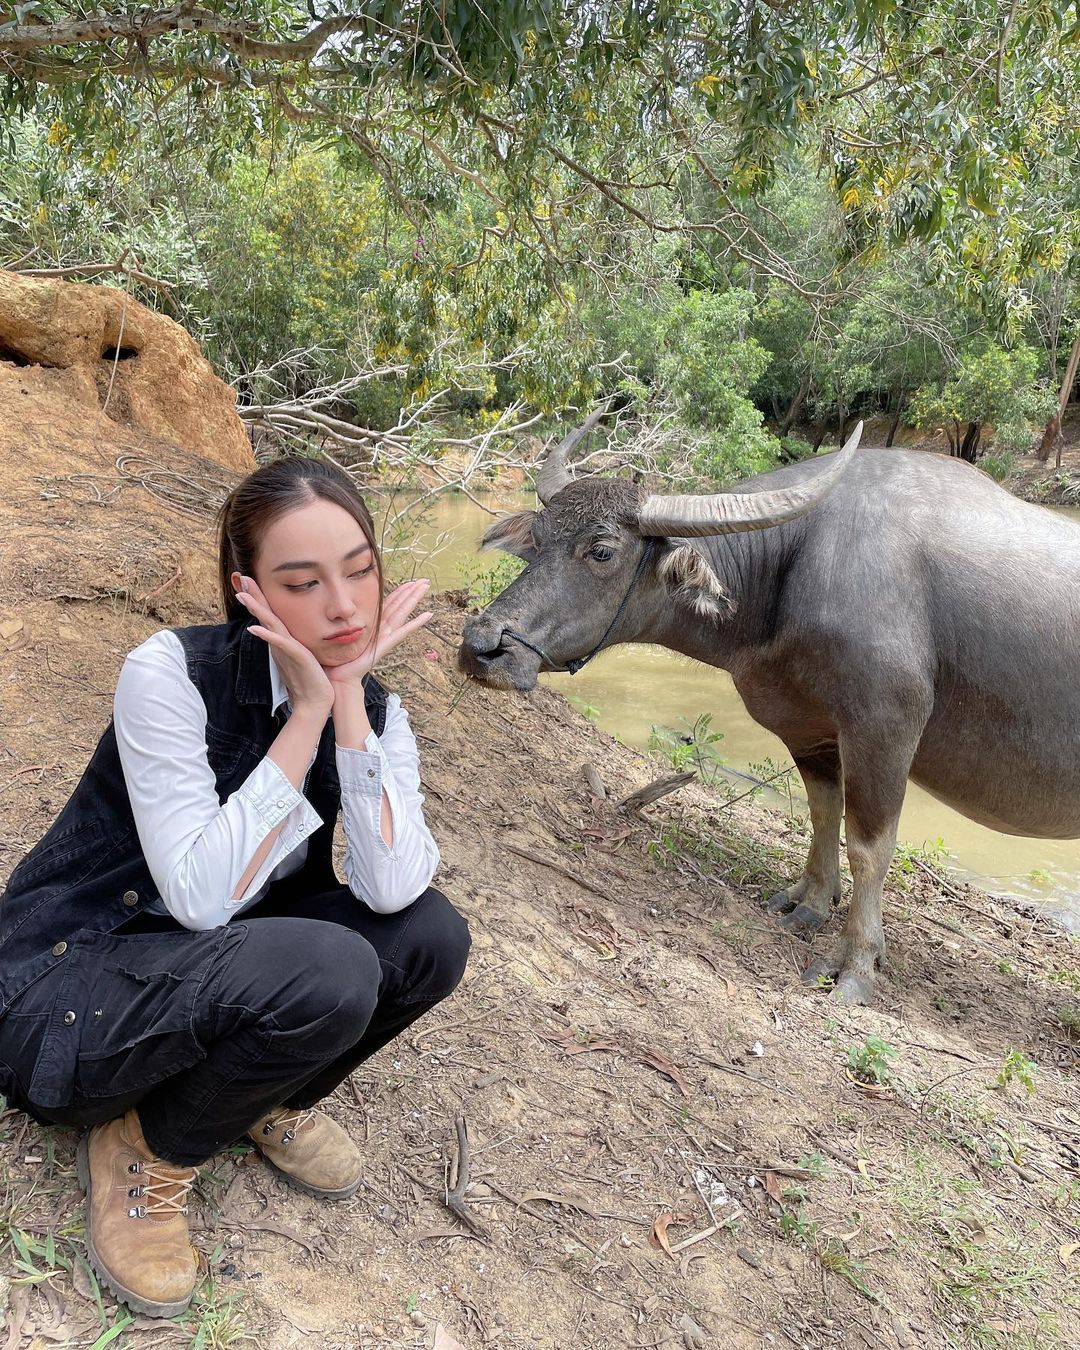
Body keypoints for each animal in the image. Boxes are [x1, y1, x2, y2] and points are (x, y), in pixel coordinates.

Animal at [453, 418, 1080, 1004]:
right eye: (537, 540)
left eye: (602, 551)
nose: (480, 646)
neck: (791, 573)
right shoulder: (808, 728)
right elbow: (824, 813)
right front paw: (809, 902)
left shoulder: (885, 729)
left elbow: (869, 847)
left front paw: (856, 963)